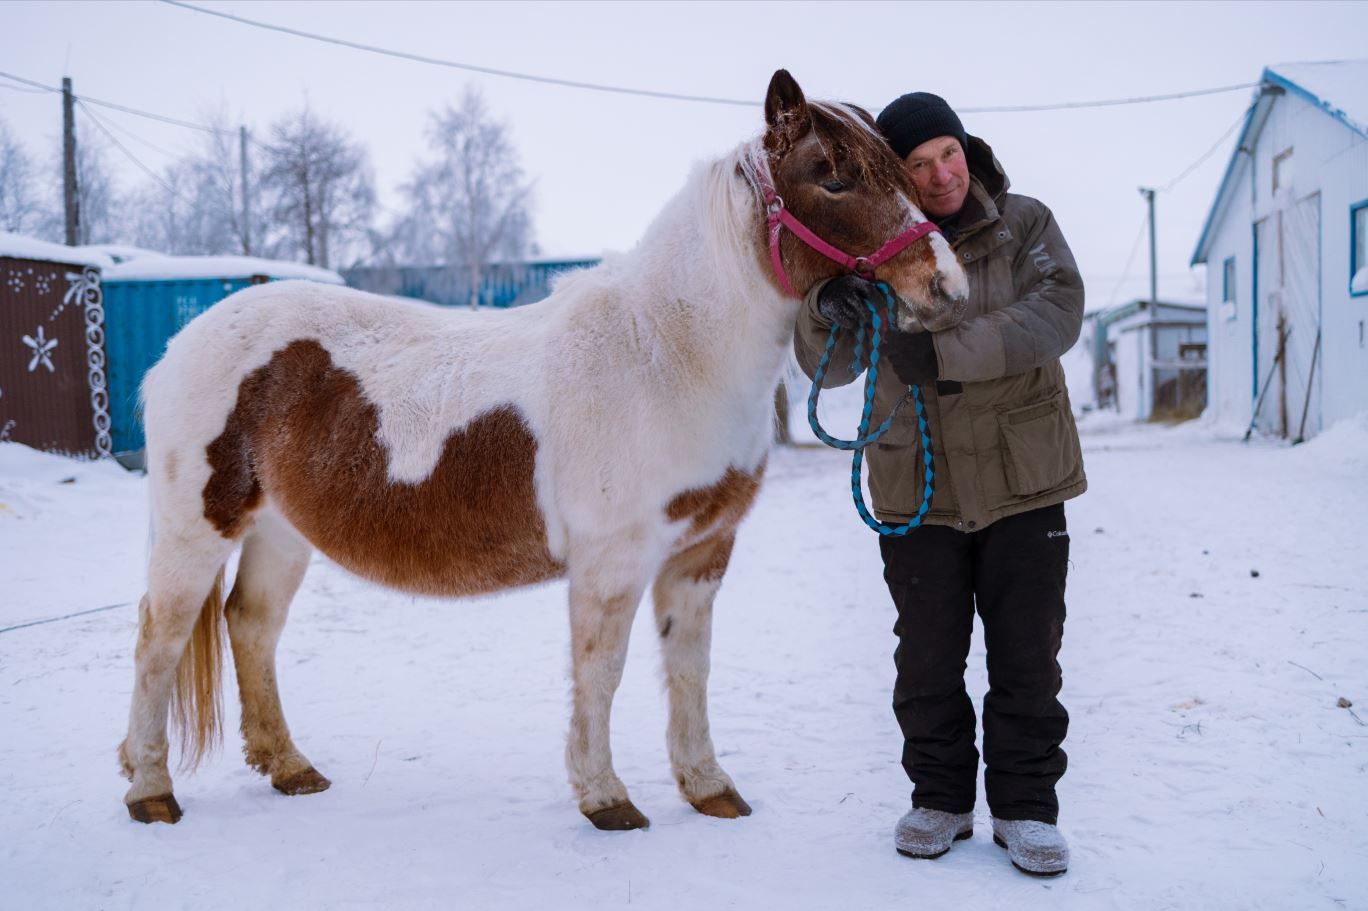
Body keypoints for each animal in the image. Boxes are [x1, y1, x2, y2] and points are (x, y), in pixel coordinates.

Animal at [118, 69, 969, 830]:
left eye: (903, 171)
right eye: (831, 177)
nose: (947, 289)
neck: (667, 353)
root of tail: (178, 347)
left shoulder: (700, 552)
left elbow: (688, 669)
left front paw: (709, 789)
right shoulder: (611, 562)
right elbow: (602, 670)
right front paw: (606, 798)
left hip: (281, 531)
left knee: (251, 625)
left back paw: (290, 768)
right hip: (198, 530)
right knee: (161, 638)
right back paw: (150, 791)